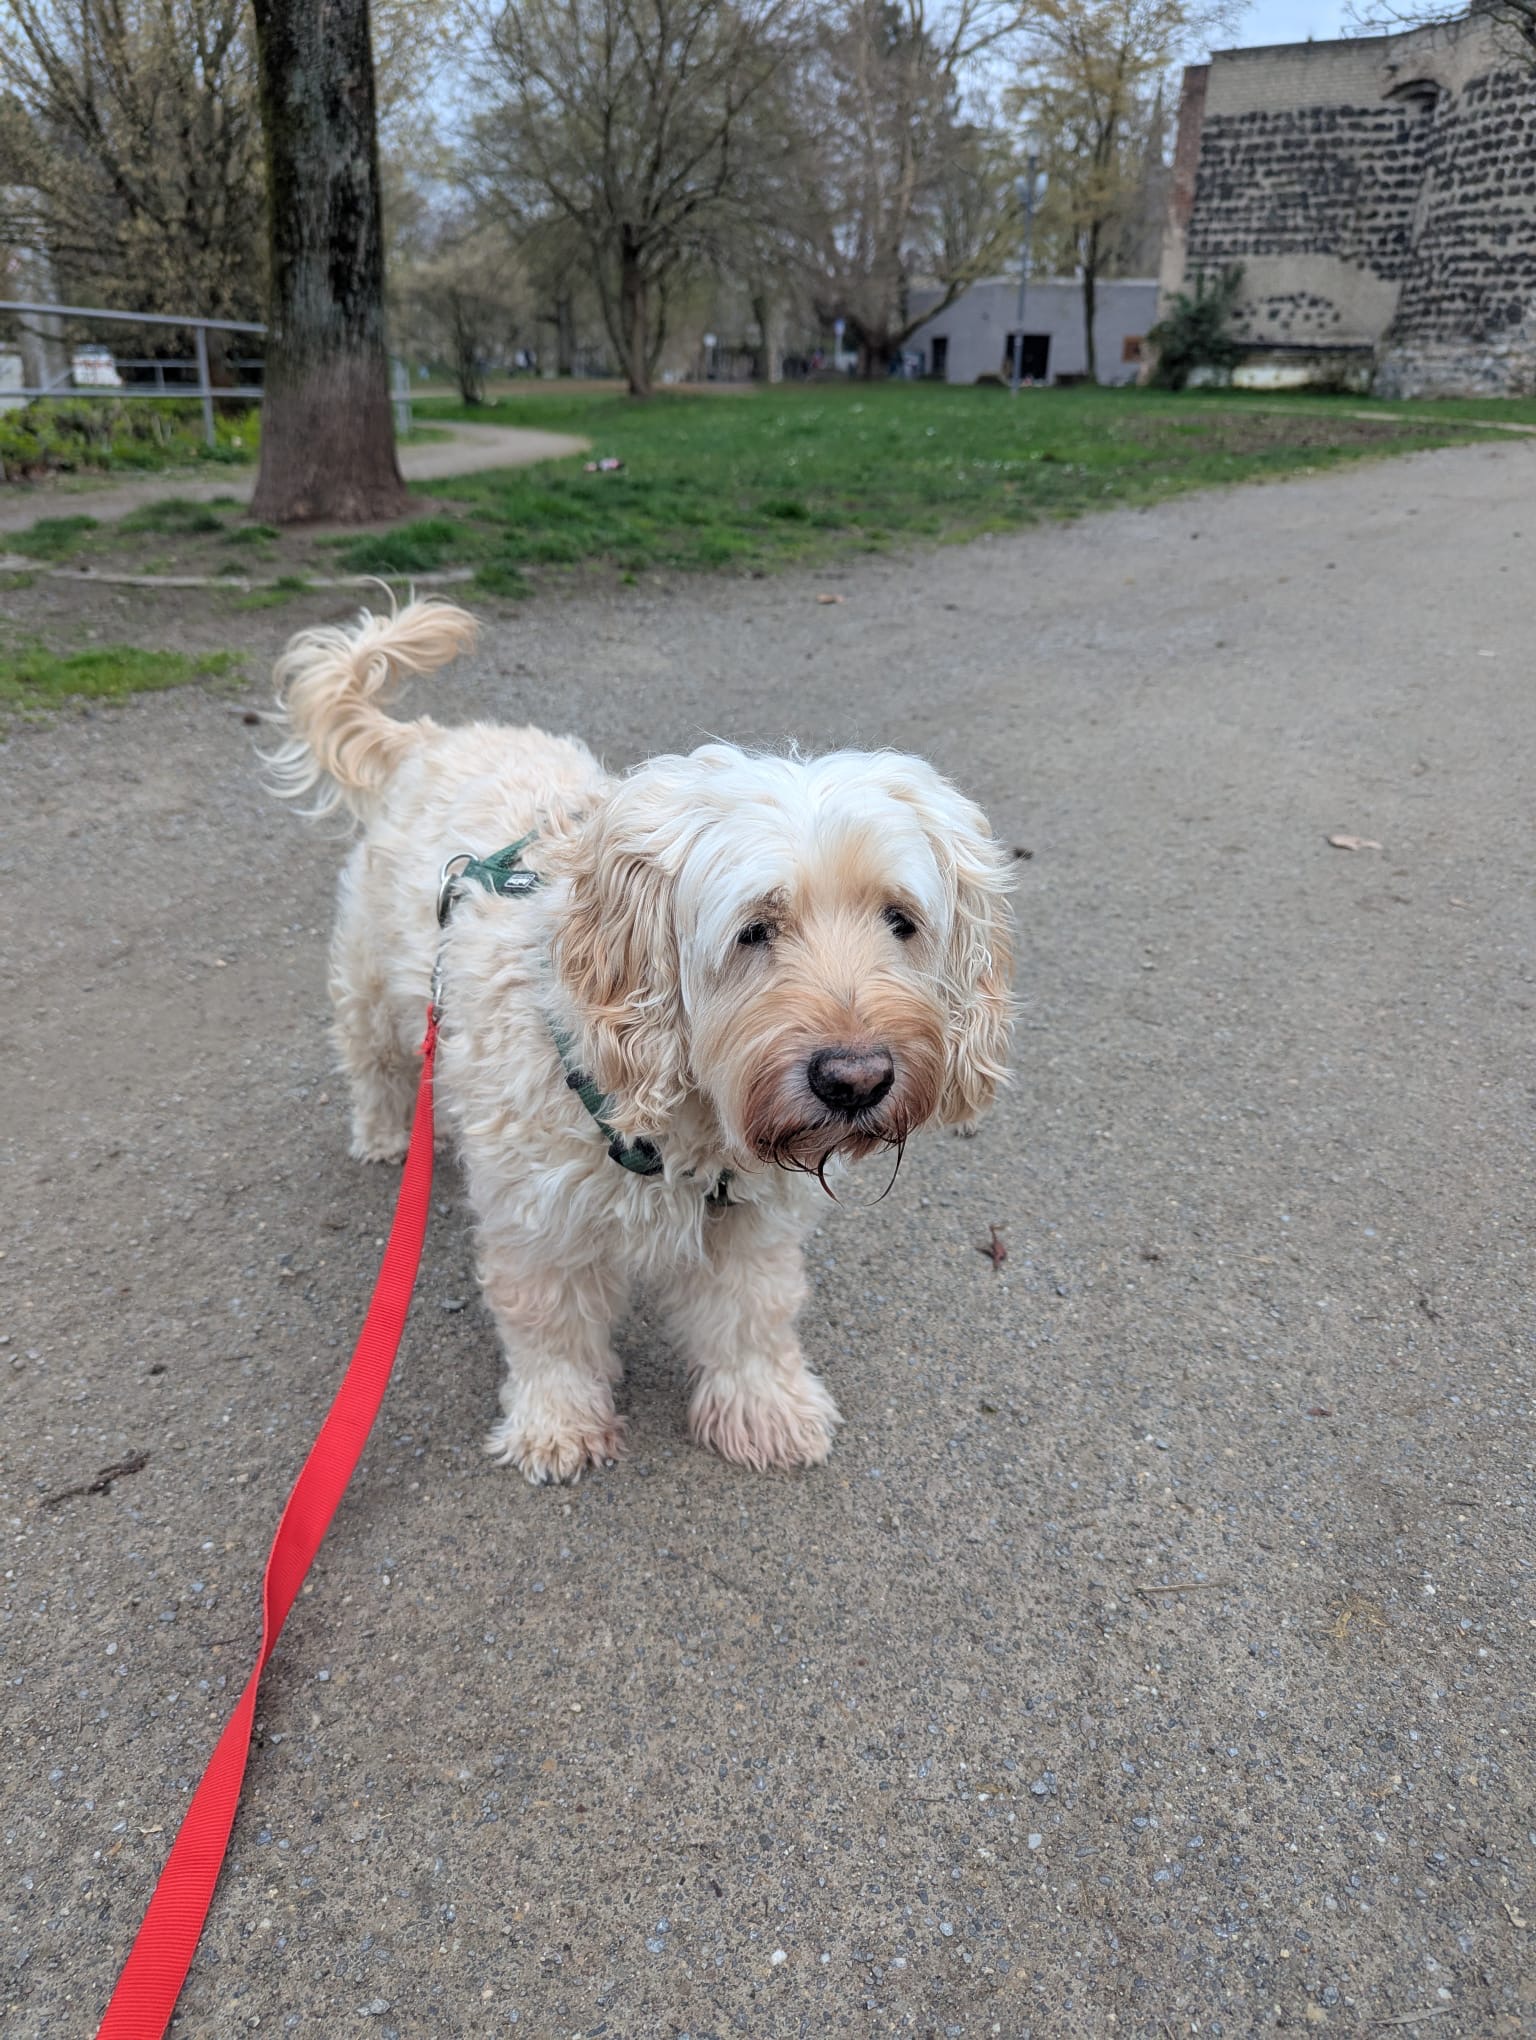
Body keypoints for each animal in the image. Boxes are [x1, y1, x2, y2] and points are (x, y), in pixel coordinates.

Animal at [265, 599, 1013, 1483]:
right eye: (754, 929)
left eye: (900, 920)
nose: (857, 1079)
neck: (676, 1111)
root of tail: (431, 738)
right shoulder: (538, 1220)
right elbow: (548, 1326)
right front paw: (557, 1423)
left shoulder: (749, 1221)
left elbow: (754, 1315)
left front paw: (765, 1408)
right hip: (371, 982)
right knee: (372, 1057)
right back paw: (385, 1134)